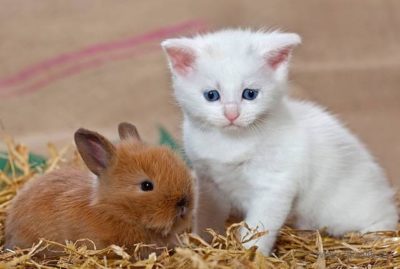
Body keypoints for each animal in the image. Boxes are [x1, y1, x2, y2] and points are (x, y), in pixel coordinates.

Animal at [160, 28, 396, 253]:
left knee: (385, 219)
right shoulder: (208, 182)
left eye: (250, 94)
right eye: (211, 95)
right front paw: (201, 242)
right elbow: (207, 214)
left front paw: (248, 254)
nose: (232, 114)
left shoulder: (275, 186)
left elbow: (259, 226)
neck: (231, 142)